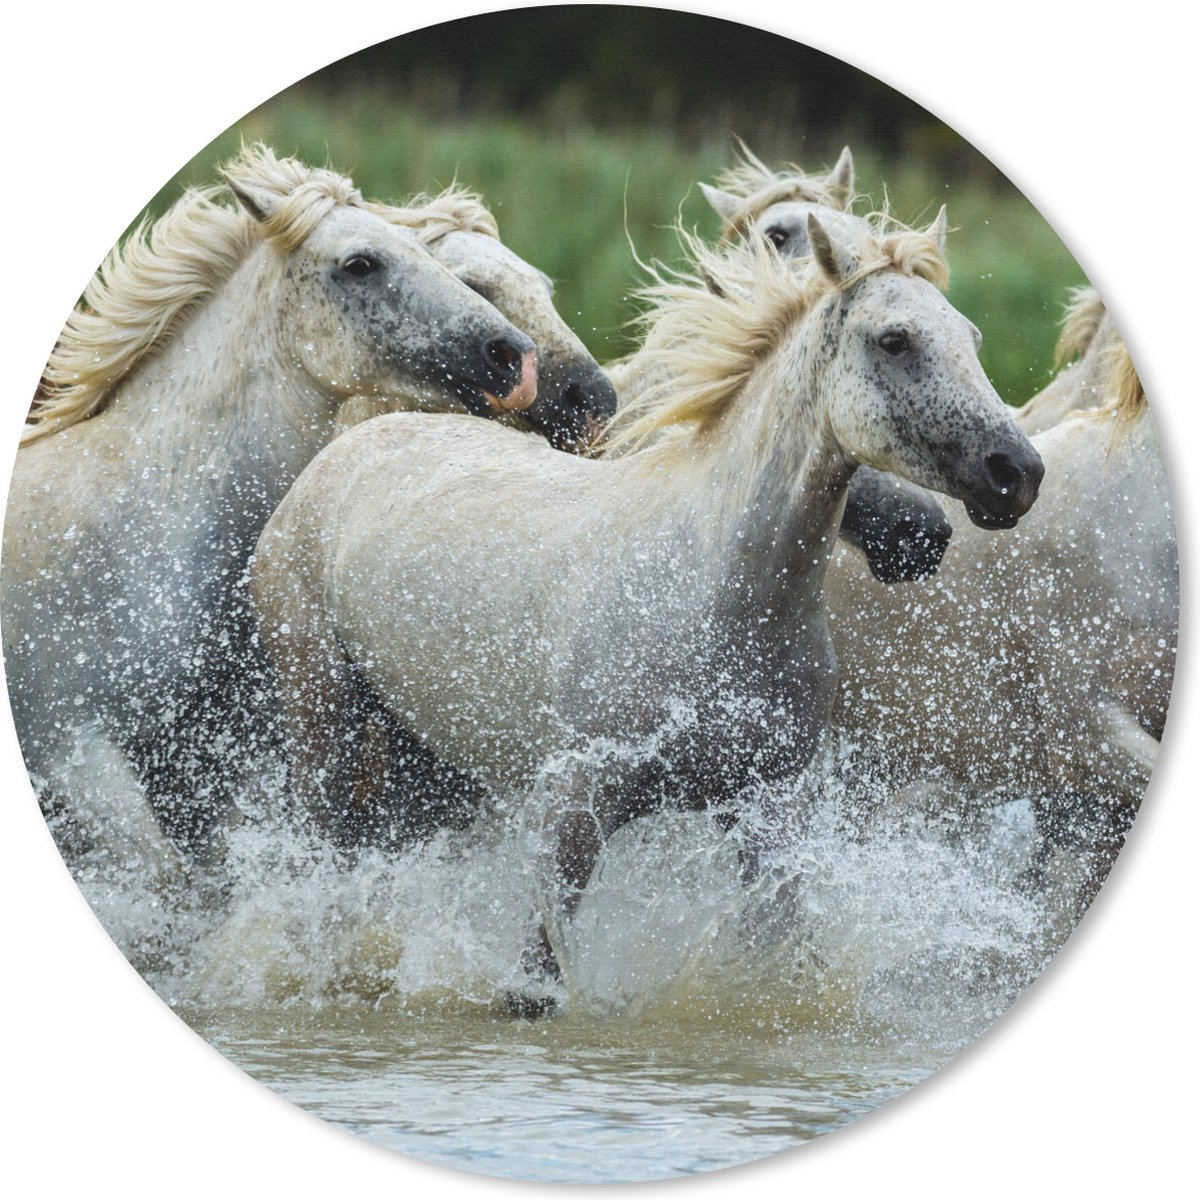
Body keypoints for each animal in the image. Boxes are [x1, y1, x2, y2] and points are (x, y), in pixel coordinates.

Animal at [250, 209, 1044, 999]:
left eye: (971, 339)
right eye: (895, 339)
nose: (1016, 473)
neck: (718, 593)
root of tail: (347, 448)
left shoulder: (766, 815)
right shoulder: (573, 812)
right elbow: (536, 988)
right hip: (322, 718)